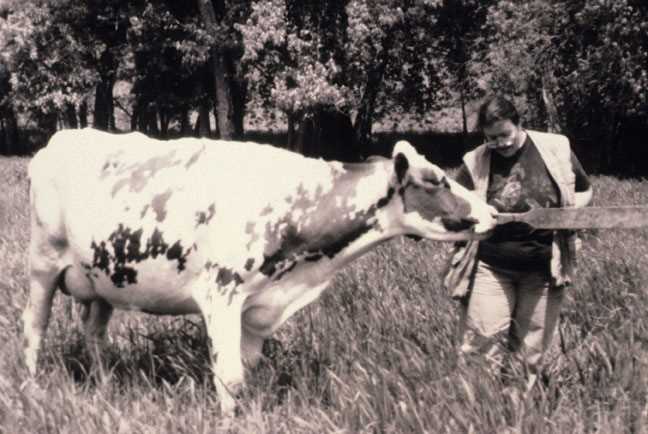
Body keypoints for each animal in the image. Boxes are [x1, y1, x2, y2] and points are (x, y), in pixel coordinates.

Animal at [21, 128, 496, 414]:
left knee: (94, 334)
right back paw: (32, 387)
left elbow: (244, 376)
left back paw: (102, 386)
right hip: (42, 263)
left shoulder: (259, 307)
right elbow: (228, 378)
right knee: (33, 328)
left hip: (105, 277)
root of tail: (65, 136)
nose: (492, 212)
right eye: (436, 180)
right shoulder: (220, 295)